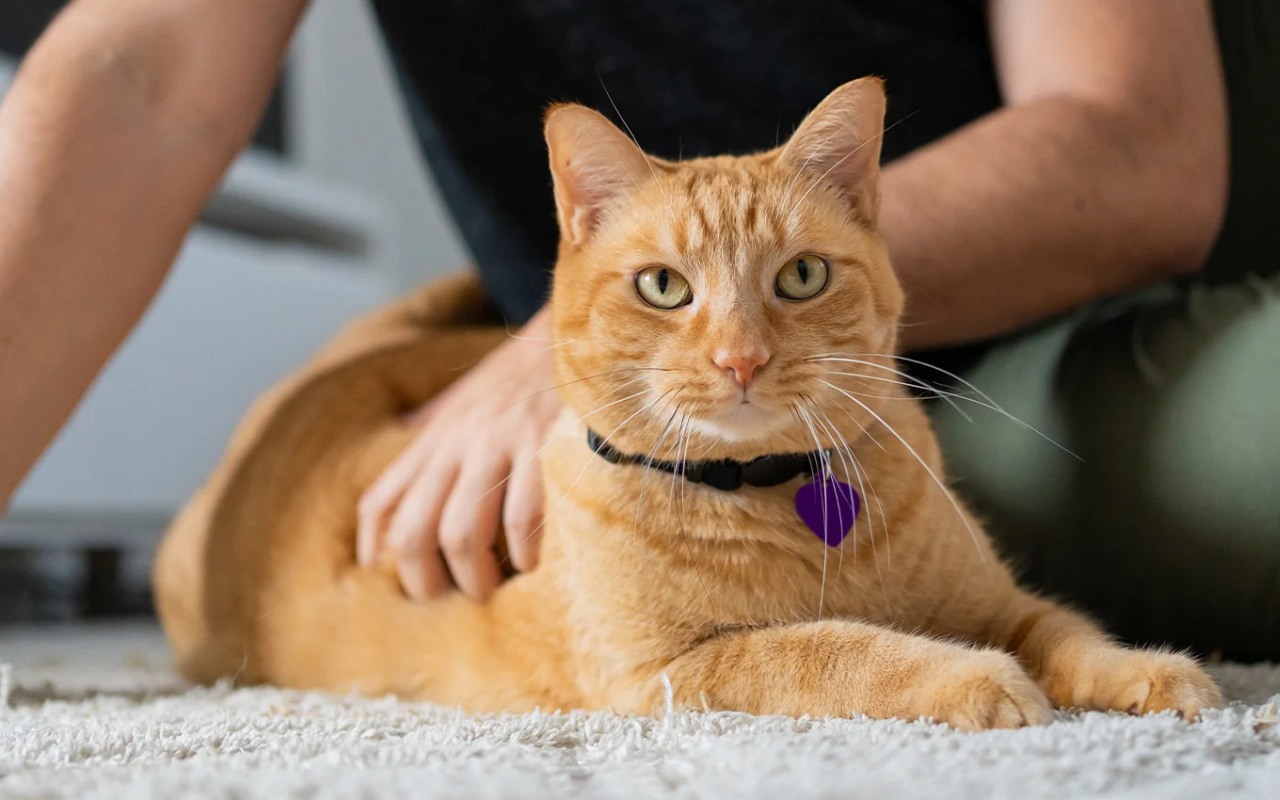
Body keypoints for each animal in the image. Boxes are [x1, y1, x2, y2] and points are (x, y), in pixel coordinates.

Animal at [152, 78, 1218, 727]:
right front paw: (971, 677)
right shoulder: (673, 670)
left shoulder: (996, 601)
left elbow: (1066, 629)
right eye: (665, 287)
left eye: (800, 277)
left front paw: (1144, 669)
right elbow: (837, 650)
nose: (741, 358)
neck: (777, 499)